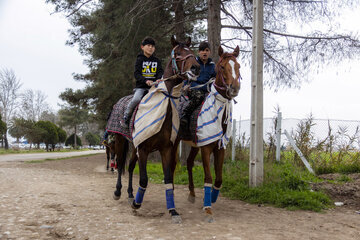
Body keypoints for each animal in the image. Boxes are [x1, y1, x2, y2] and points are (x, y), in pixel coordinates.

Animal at [109, 35, 200, 223]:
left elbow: (168, 178)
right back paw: (118, 192)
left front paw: (173, 211)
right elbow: (144, 179)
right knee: (120, 165)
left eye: (191, 52)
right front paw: (137, 204)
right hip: (121, 142)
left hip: (133, 146)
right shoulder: (143, 148)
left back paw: (130, 194)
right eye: (178, 53)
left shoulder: (165, 149)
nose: (196, 68)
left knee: (129, 167)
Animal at [173, 45, 240, 223]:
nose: (234, 88)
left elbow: (219, 178)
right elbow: (208, 177)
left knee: (189, 163)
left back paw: (192, 194)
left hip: (194, 145)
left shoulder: (219, 148)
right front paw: (208, 209)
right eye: (222, 66)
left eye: (238, 66)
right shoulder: (206, 148)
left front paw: (212, 198)